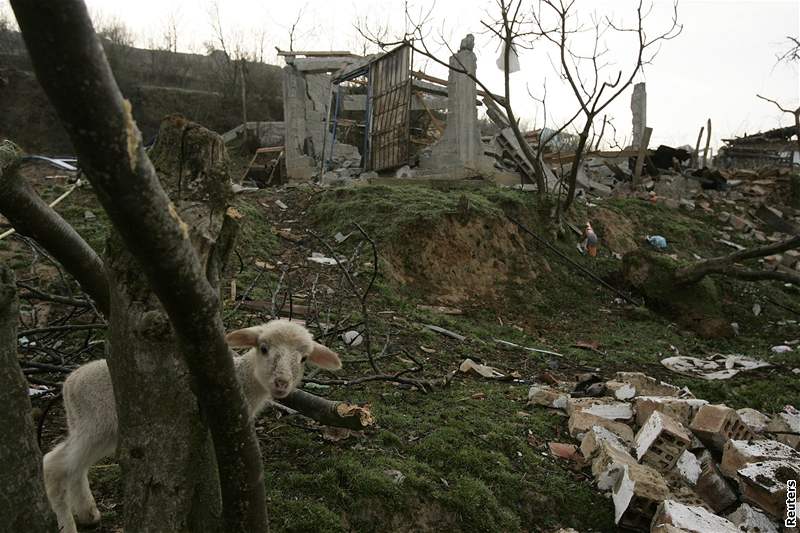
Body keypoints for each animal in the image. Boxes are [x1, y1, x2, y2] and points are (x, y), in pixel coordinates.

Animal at [44, 320, 340, 532]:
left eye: (304, 358)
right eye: (263, 347)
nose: (281, 383)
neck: (241, 381)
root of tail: (68, 383)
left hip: (96, 428)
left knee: (73, 465)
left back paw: (88, 514)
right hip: (95, 423)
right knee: (54, 465)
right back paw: (68, 526)